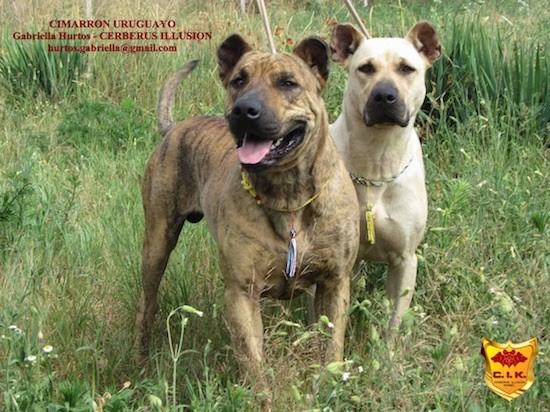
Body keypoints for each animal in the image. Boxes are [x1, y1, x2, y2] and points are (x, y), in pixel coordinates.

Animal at [132, 34, 360, 402]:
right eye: (239, 80)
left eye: (287, 83)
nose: (244, 110)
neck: (288, 195)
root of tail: (176, 127)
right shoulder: (242, 293)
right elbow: (252, 362)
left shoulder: (333, 282)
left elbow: (331, 347)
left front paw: (327, 388)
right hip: (156, 243)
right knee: (147, 303)